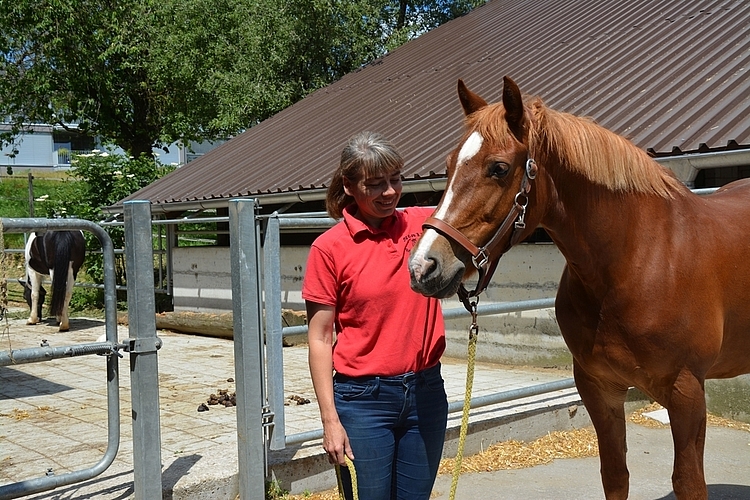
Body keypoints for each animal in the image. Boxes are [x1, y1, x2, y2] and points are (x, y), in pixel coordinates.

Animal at [412, 76, 750, 498]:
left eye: (499, 168)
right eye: (448, 165)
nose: (424, 266)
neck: (637, 257)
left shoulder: (686, 391)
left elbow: (689, 482)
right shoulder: (598, 388)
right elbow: (615, 475)